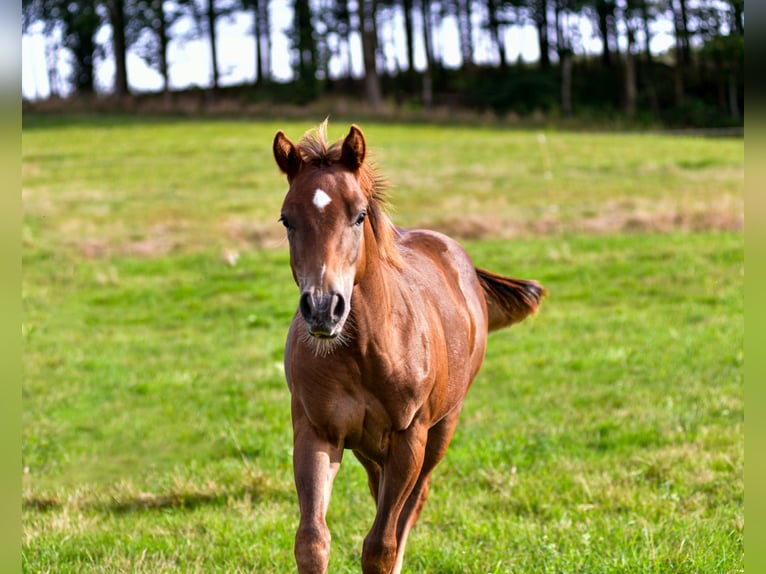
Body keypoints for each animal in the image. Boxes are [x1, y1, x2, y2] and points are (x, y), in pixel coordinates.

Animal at [272, 122, 548, 574]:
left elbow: (382, 545)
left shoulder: (408, 439)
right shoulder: (316, 433)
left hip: (440, 430)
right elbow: (312, 541)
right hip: (369, 447)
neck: (364, 353)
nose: (323, 308)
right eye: (287, 219)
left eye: (359, 215)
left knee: (412, 506)